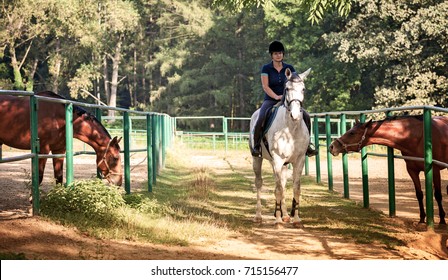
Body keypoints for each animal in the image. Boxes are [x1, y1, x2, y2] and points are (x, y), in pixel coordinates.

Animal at [248, 68, 312, 228]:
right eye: (287, 88)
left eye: (303, 89)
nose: (295, 114)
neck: (291, 129)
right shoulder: (277, 159)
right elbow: (278, 189)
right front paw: (277, 220)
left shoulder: (299, 160)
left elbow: (295, 188)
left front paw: (296, 219)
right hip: (258, 160)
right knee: (259, 183)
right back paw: (259, 216)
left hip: (282, 164)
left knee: (282, 183)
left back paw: (286, 215)